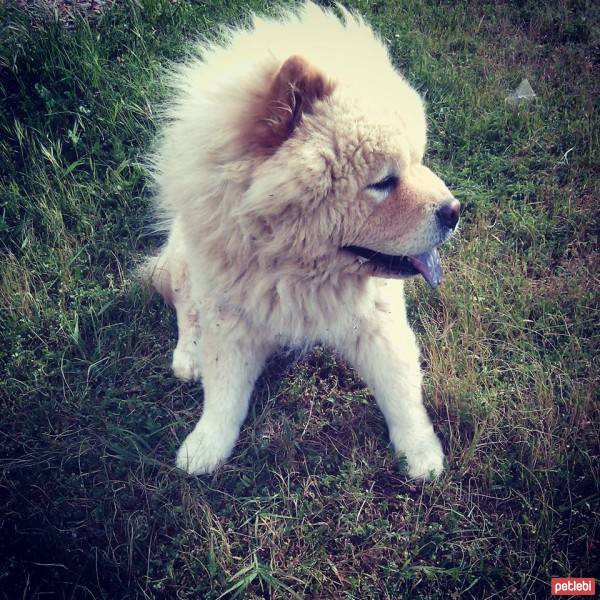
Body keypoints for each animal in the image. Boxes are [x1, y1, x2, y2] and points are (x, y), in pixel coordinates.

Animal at [145, 0, 460, 478]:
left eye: (418, 161)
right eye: (384, 182)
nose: (454, 211)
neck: (297, 272)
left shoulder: (378, 318)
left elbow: (402, 390)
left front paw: (421, 454)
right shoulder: (230, 315)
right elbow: (224, 393)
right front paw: (205, 447)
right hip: (187, 257)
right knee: (183, 300)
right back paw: (188, 353)